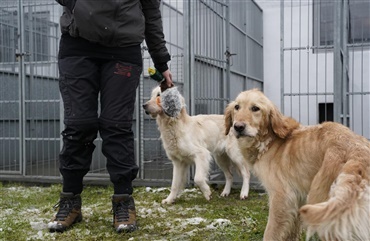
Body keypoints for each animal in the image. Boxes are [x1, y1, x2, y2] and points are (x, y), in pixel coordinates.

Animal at [224, 89, 368, 241]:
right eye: (237, 107)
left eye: (255, 108)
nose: (238, 127)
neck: (269, 141)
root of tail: (356, 151)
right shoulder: (297, 199)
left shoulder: (281, 197)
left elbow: (270, 232)